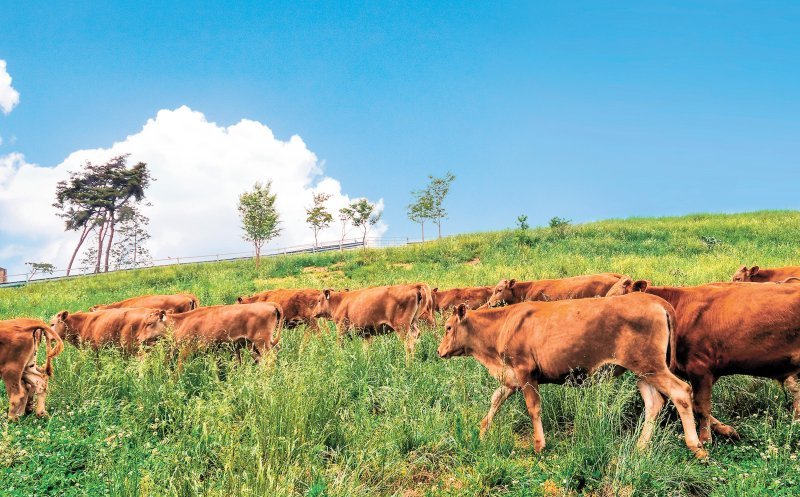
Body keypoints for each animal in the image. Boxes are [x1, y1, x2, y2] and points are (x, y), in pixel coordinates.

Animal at [438, 294, 708, 458]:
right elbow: (495, 399)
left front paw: (539, 445)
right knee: (655, 403)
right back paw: (641, 447)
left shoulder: (525, 372)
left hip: (651, 366)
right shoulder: (512, 377)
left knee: (681, 392)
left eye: (448, 327)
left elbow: (533, 407)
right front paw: (482, 430)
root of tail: (656, 300)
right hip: (643, 371)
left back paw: (696, 447)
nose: (440, 351)